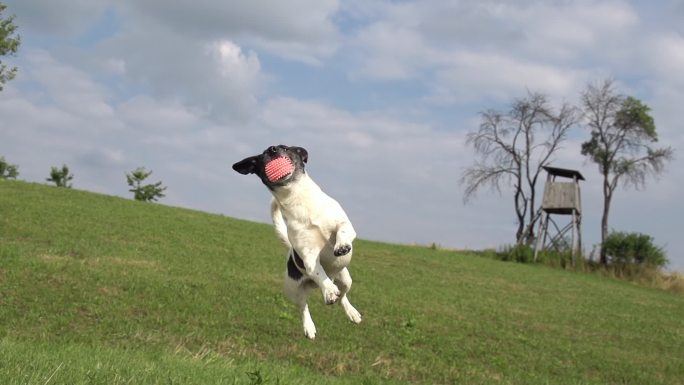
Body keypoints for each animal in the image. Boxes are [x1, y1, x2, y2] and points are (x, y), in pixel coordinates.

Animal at [234, 146, 364, 338]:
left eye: (285, 148)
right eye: (261, 157)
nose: (272, 149)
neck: (297, 198)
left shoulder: (344, 224)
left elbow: (342, 230)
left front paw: (342, 245)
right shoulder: (309, 256)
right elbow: (318, 271)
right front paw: (328, 290)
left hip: (346, 278)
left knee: (343, 296)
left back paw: (352, 313)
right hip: (293, 289)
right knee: (303, 306)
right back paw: (309, 327)